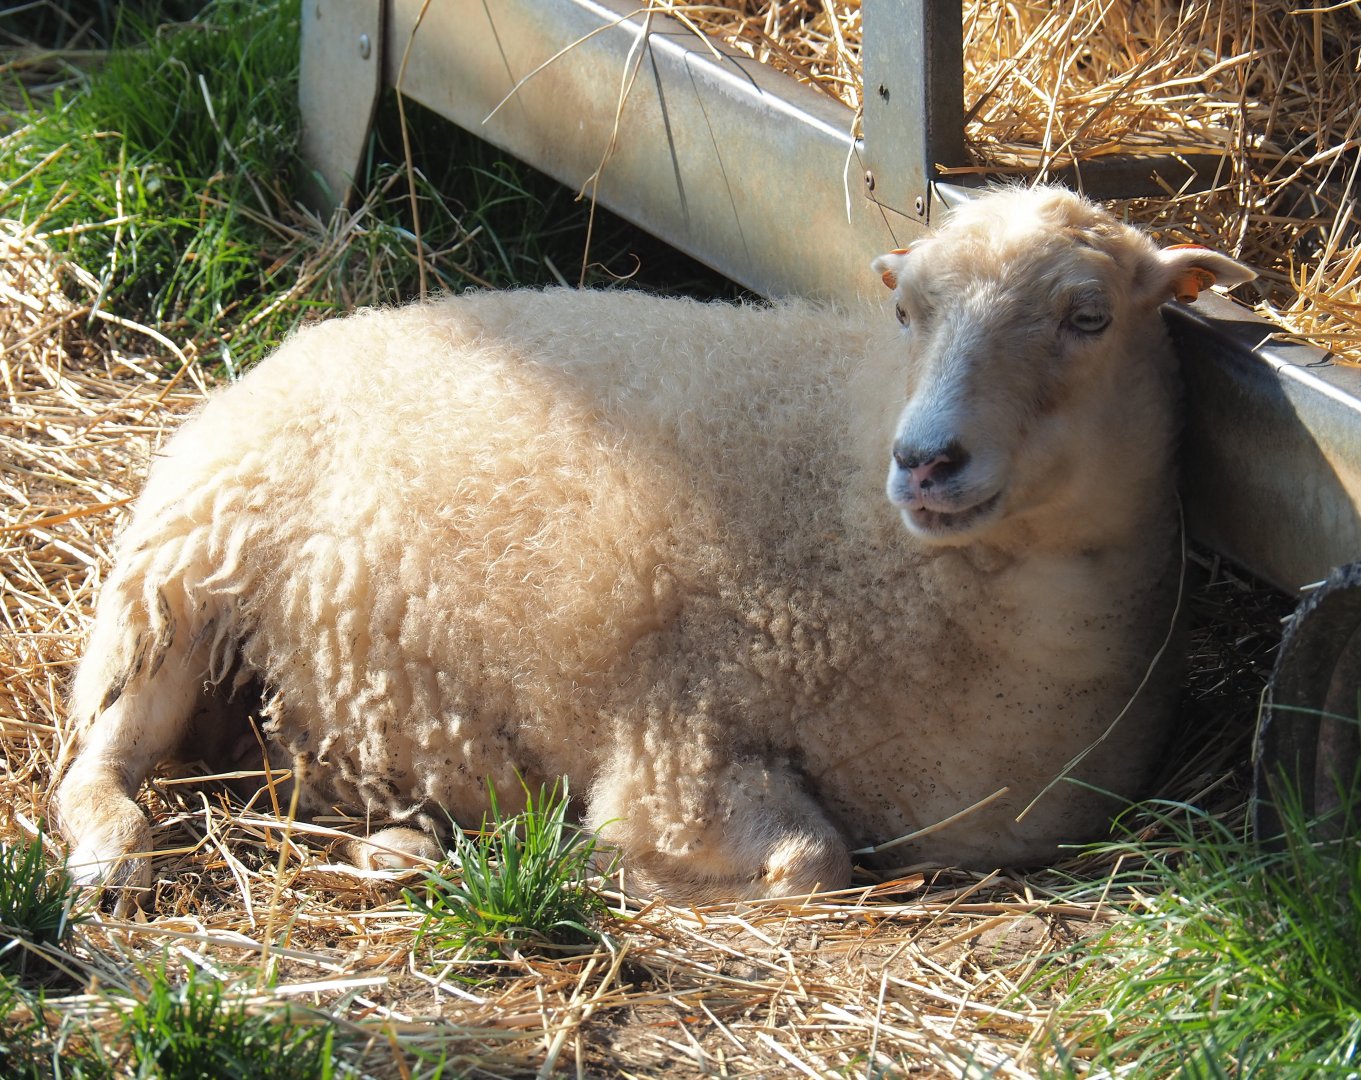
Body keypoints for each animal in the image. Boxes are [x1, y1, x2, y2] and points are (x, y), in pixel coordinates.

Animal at [53, 186, 1255, 904]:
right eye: (906, 311)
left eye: (1088, 316)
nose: (923, 460)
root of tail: (307, 338)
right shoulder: (680, 734)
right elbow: (809, 861)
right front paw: (621, 865)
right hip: (184, 576)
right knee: (96, 757)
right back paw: (115, 855)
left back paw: (398, 842)